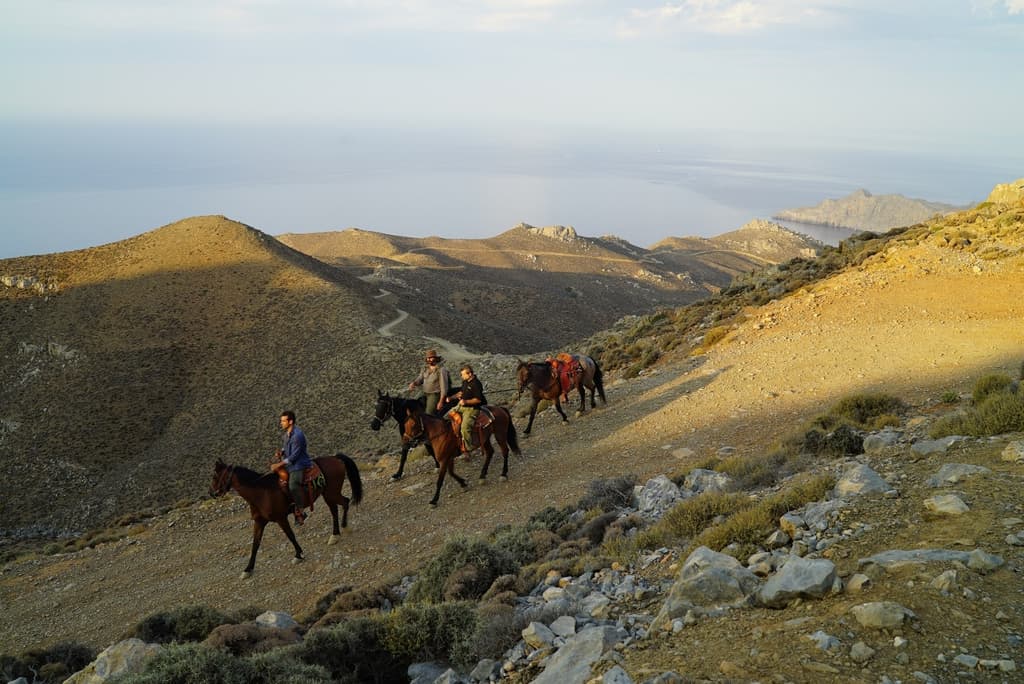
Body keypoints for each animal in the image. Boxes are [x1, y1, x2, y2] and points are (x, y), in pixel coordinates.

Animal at [208, 454, 364, 577]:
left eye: (215, 476)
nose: (211, 493)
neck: (261, 493)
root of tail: (336, 458)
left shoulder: (281, 518)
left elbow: (290, 536)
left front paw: (299, 555)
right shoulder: (259, 522)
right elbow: (255, 544)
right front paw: (248, 569)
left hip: (331, 493)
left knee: (345, 502)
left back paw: (344, 527)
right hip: (328, 494)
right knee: (335, 509)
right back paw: (335, 535)